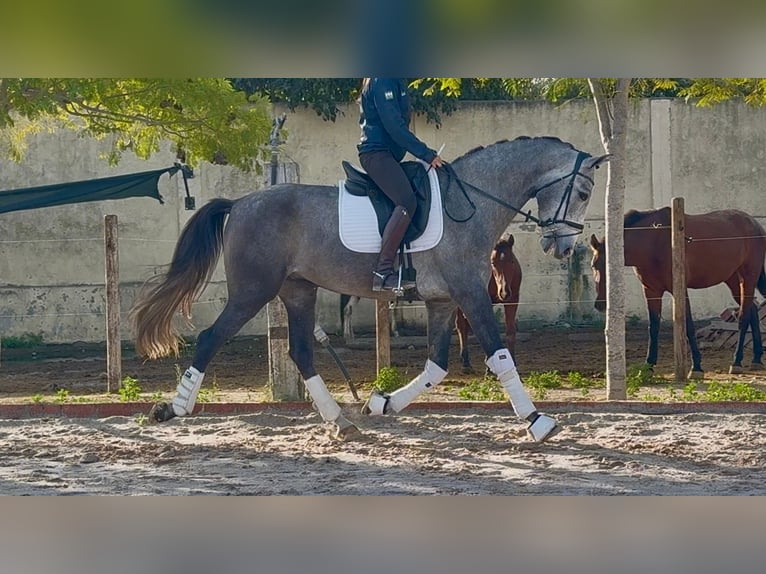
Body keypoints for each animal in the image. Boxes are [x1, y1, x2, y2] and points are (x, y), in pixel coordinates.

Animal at [455, 235, 522, 373]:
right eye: (493, 263)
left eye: (512, 261)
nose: (504, 292)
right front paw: (489, 369)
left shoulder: (513, 300)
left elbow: (510, 331)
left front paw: (512, 362)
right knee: (461, 326)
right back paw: (465, 363)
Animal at [589, 207, 766, 377]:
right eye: (593, 266)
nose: (600, 304)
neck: (654, 242)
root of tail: (755, 225)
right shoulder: (651, 291)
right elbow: (653, 327)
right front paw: (648, 366)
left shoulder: (680, 290)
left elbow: (689, 325)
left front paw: (696, 367)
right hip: (733, 280)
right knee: (752, 310)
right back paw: (756, 359)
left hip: (748, 277)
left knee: (744, 317)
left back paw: (736, 362)